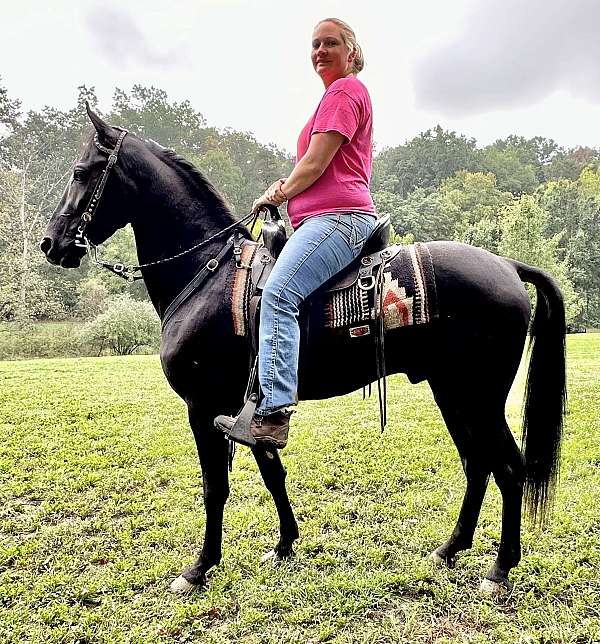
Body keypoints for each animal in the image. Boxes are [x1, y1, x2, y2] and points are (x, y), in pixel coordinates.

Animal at [39, 105, 564, 592]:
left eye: (81, 172)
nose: (50, 243)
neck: (207, 273)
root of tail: (508, 265)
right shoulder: (248, 411)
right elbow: (272, 471)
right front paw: (285, 544)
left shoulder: (203, 406)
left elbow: (215, 487)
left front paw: (200, 567)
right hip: (452, 392)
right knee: (478, 465)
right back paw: (450, 548)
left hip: (479, 396)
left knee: (508, 468)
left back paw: (500, 568)